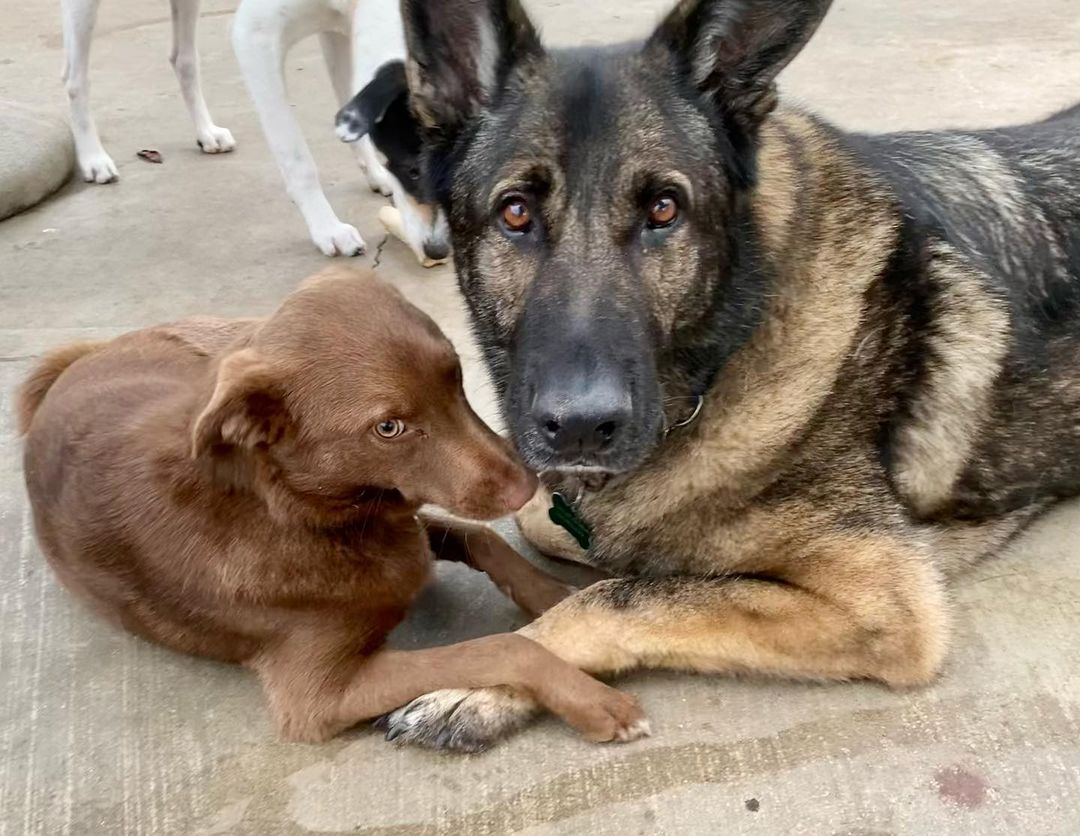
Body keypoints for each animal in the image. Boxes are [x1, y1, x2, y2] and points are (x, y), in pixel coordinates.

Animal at [19, 268, 648, 747]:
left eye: (455, 377)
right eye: (389, 427)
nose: (526, 485)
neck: (297, 513)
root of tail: (76, 361)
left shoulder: (403, 519)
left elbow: (481, 538)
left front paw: (550, 594)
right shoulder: (319, 696)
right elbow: (501, 646)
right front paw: (595, 701)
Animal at [61, 0, 234, 183]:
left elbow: (186, 62)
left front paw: (206, 130)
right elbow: (78, 84)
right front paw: (94, 158)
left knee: (67, 69)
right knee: (75, 79)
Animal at [367, 0, 1080, 751]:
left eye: (664, 210)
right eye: (515, 212)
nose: (583, 428)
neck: (728, 350)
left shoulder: (885, 604)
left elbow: (620, 596)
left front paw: (480, 682)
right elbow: (553, 522)